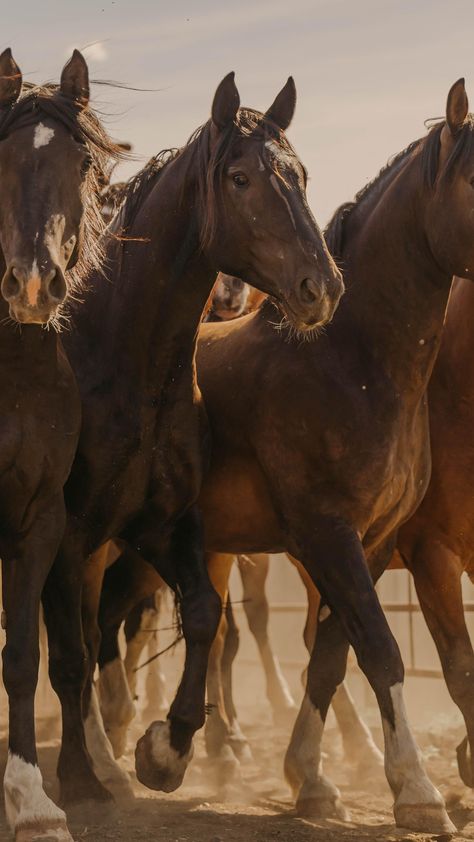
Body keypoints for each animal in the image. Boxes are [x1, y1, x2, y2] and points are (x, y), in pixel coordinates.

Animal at [41, 72, 344, 808]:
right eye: (238, 177)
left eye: (299, 174)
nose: (321, 287)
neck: (126, 369)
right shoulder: (68, 535)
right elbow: (70, 655)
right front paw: (78, 774)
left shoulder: (163, 525)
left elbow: (205, 617)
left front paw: (167, 749)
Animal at [94, 80, 474, 832]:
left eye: (301, 176)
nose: (318, 289)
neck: (348, 361)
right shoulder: (336, 536)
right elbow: (381, 649)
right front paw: (416, 791)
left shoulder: (373, 542)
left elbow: (331, 656)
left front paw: (314, 778)